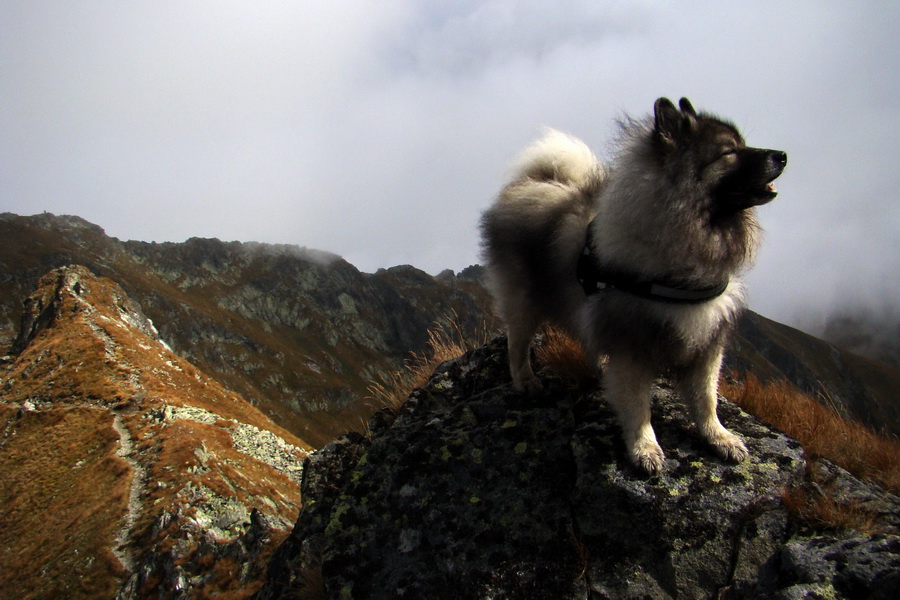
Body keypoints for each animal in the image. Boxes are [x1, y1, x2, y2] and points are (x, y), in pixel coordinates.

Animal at [482, 97, 784, 474]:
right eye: (729, 152)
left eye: (743, 145)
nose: (782, 155)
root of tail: (538, 180)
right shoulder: (631, 344)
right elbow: (639, 405)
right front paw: (644, 448)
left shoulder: (708, 341)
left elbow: (706, 399)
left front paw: (719, 437)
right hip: (524, 301)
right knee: (517, 344)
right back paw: (526, 381)